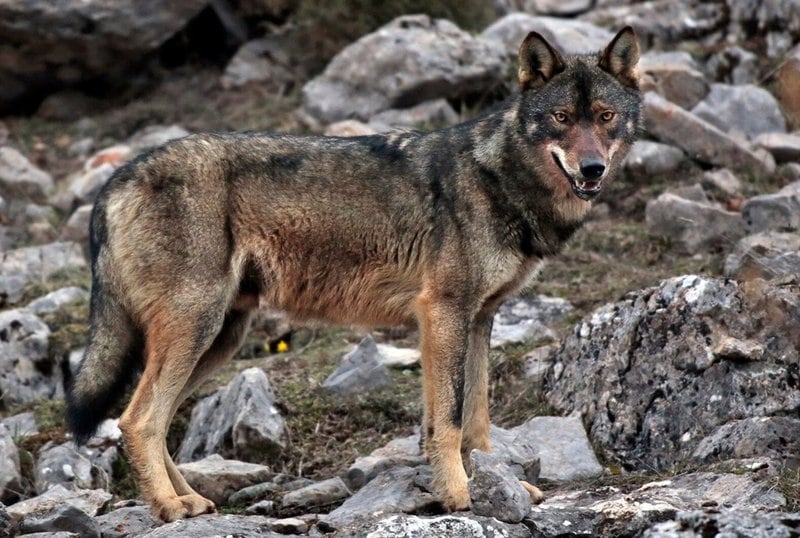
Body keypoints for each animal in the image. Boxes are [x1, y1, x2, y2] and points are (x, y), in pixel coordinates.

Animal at [65, 28, 640, 520]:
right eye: (561, 117)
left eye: (605, 116)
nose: (592, 169)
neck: (498, 179)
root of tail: (115, 181)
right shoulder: (443, 313)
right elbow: (450, 421)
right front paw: (458, 494)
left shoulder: (478, 320)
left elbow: (476, 422)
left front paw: (500, 483)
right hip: (196, 329)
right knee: (137, 420)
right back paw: (169, 507)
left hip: (219, 339)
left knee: (155, 422)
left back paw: (189, 500)